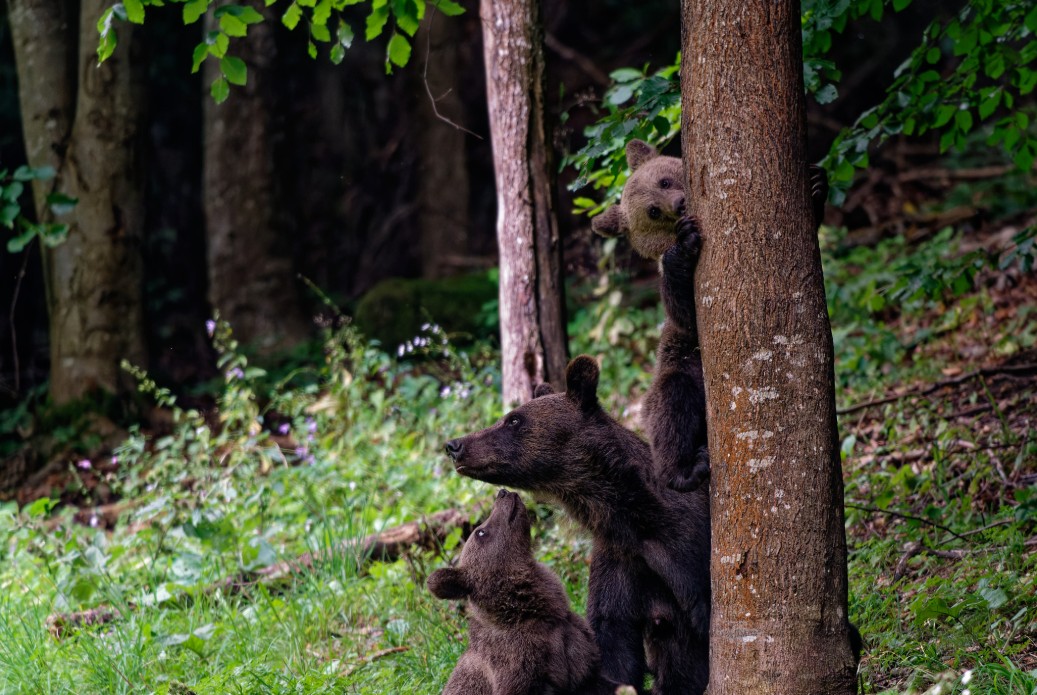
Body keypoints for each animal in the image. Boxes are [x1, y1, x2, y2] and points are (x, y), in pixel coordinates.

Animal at [590, 139, 829, 492]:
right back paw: (684, 470)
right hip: (681, 371)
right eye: (652, 211)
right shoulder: (682, 315)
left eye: (664, 181)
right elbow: (685, 312)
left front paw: (816, 184)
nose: (679, 204)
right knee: (672, 405)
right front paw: (683, 243)